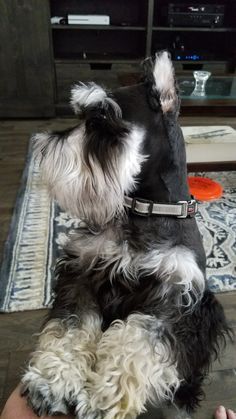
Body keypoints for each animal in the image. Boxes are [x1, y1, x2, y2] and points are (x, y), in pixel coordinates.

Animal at [20, 50, 230, 418]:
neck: (145, 210)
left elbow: (135, 342)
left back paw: (185, 396)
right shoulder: (82, 273)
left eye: (100, 121)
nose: (43, 149)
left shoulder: (173, 298)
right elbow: (70, 327)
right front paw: (50, 382)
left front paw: (102, 400)